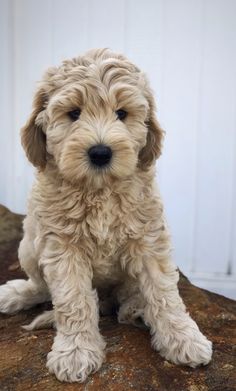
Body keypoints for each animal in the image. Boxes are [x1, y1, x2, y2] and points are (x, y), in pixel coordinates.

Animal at [0, 49, 211, 382]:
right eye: (74, 113)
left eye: (121, 113)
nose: (100, 152)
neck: (99, 190)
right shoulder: (62, 246)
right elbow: (73, 300)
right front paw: (75, 352)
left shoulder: (148, 238)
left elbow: (164, 293)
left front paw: (184, 339)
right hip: (29, 247)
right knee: (41, 285)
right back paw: (16, 294)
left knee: (130, 295)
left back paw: (136, 310)